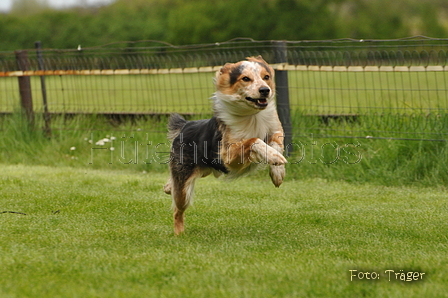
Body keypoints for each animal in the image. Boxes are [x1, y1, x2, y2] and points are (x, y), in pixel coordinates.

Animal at [164, 56, 288, 235]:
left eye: (266, 77)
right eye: (245, 78)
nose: (265, 90)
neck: (252, 116)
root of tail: (185, 125)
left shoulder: (275, 130)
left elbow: (276, 144)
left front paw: (277, 170)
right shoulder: (228, 157)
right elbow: (253, 140)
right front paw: (273, 157)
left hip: (204, 170)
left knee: (172, 185)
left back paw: (168, 186)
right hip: (184, 187)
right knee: (177, 209)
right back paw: (179, 233)